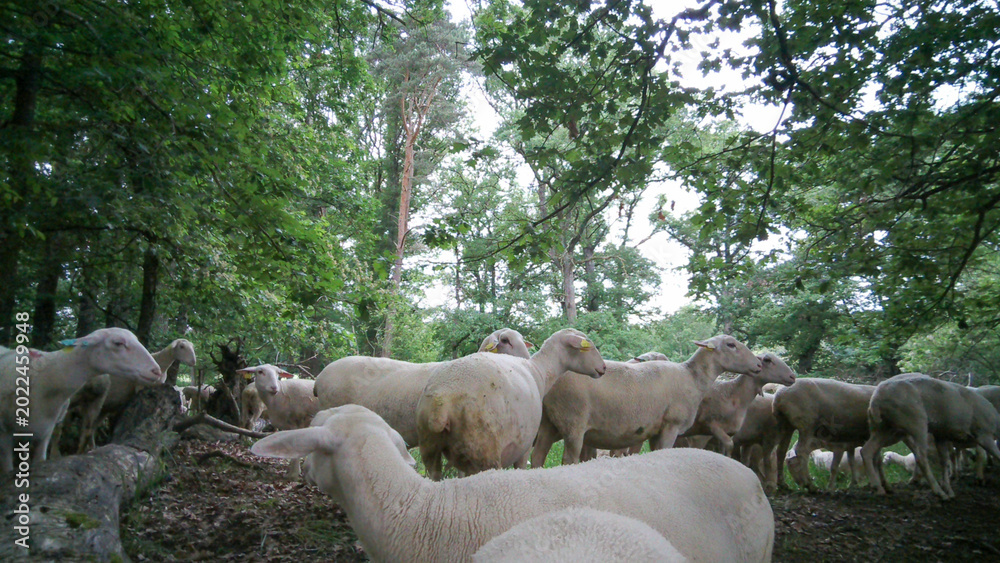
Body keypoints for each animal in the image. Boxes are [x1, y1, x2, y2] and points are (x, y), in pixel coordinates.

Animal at [417, 328, 606, 480]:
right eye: (587, 346)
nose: (603, 368)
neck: (539, 371)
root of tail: (442, 404)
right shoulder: (524, 446)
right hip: (484, 449)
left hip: (430, 448)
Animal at [531, 334, 763, 468]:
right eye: (731, 344)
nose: (759, 365)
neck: (693, 377)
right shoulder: (671, 425)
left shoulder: (656, 431)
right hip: (573, 422)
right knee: (568, 460)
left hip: (550, 422)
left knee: (537, 456)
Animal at [860, 373, 1000, 499]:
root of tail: (875, 401)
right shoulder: (983, 433)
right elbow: (996, 455)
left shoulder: (941, 434)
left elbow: (945, 461)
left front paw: (949, 488)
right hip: (915, 419)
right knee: (921, 456)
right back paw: (938, 491)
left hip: (882, 427)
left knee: (867, 450)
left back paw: (878, 487)